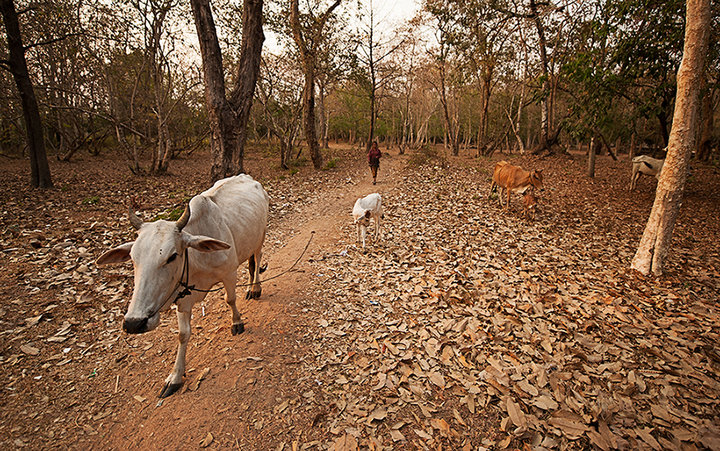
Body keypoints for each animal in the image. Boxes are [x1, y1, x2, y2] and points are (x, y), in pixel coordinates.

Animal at [98, 175, 270, 398]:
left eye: (172, 256)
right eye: (133, 258)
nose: (134, 323)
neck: (196, 258)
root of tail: (247, 177)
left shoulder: (229, 274)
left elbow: (230, 299)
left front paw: (237, 323)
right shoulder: (182, 296)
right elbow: (183, 334)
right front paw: (175, 377)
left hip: (261, 236)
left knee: (257, 260)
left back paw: (255, 288)